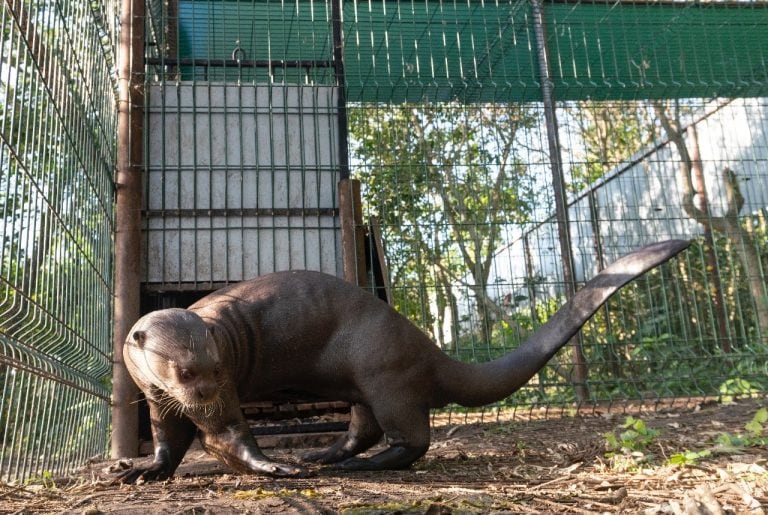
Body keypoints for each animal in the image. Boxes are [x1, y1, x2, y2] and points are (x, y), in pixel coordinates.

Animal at [118, 239, 688, 484]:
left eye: (217, 370)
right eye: (185, 372)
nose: (204, 394)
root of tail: (426, 350)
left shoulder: (227, 391)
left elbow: (228, 432)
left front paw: (274, 466)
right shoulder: (155, 395)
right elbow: (169, 439)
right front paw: (143, 469)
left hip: (384, 375)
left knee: (412, 440)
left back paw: (360, 465)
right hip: (364, 385)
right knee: (364, 430)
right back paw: (326, 455)